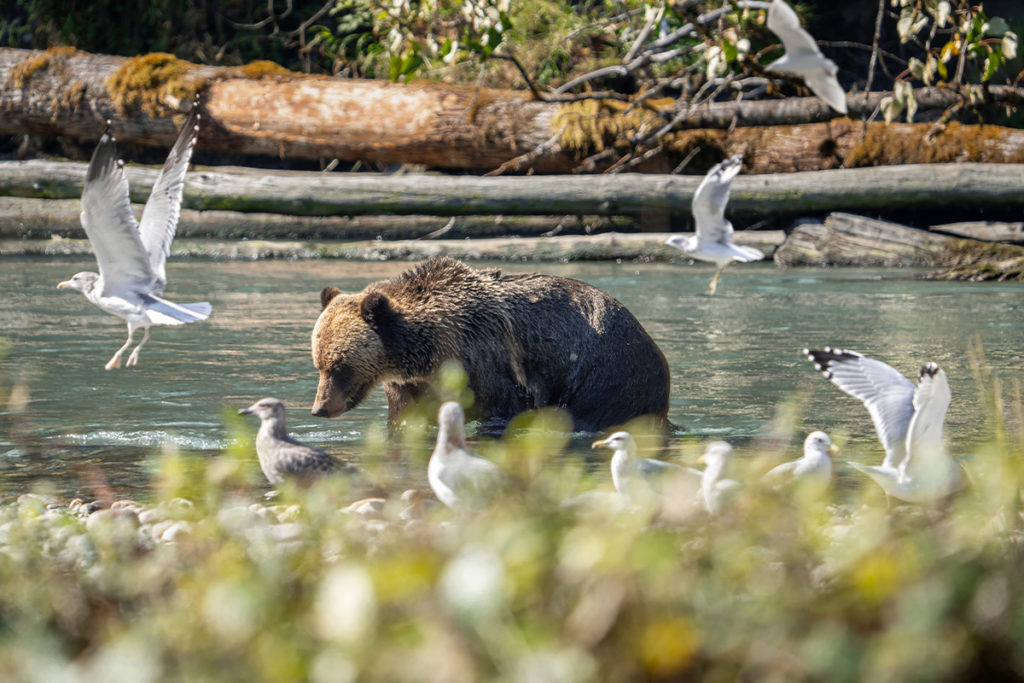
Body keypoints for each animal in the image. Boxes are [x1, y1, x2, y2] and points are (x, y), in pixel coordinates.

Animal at [307, 255, 667, 432]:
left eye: (340, 365)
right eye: (319, 364)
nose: (320, 408)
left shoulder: (483, 359)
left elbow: (501, 407)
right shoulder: (411, 385)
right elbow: (405, 417)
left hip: (606, 371)